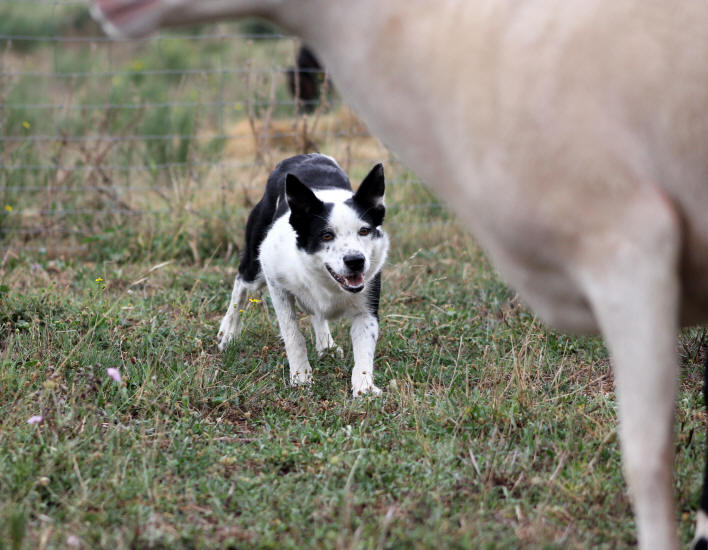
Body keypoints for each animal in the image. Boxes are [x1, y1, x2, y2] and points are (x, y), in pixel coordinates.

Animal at [218, 155, 390, 396]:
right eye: (326, 235)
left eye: (364, 231)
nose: (356, 261)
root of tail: (304, 156)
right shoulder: (277, 284)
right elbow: (293, 336)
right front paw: (301, 377)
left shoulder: (366, 307)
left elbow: (364, 348)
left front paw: (364, 387)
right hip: (255, 265)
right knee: (240, 286)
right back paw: (228, 333)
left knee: (317, 315)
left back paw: (326, 346)